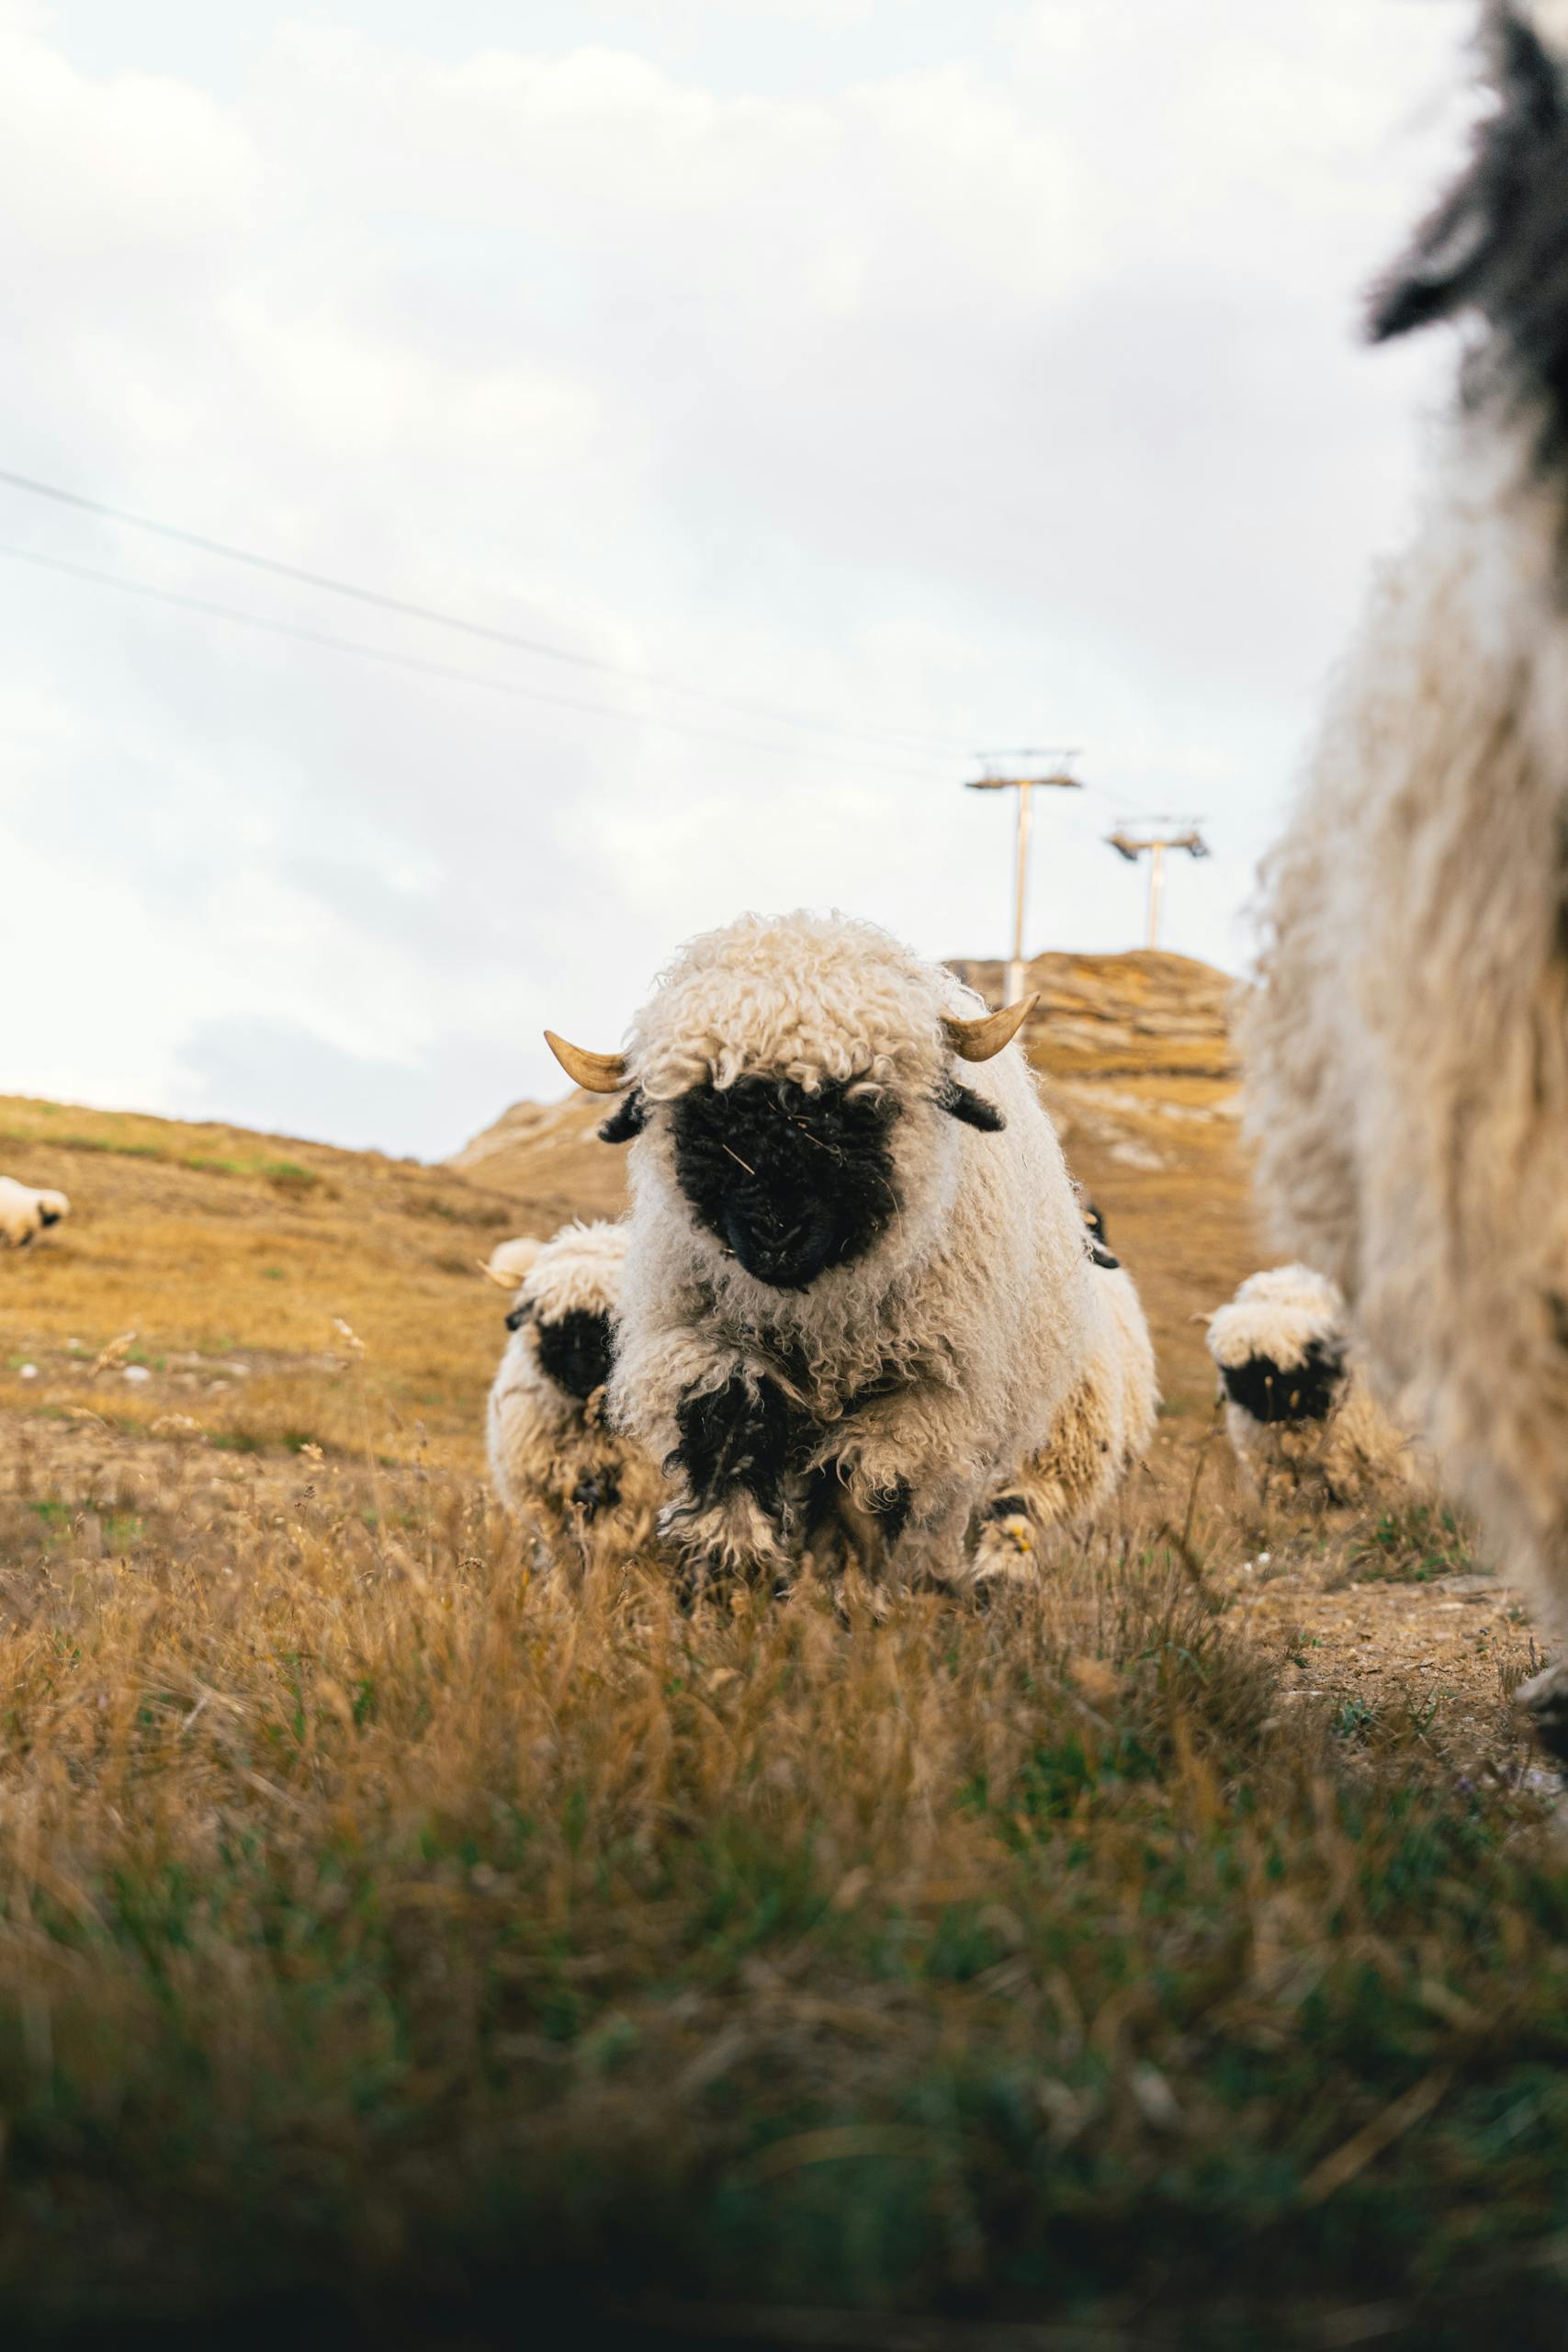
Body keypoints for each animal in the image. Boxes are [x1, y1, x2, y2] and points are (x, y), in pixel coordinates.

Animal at [543, 908, 1101, 1592]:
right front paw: (729, 1575)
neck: (816, 1314)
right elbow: (730, 1432)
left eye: (862, 1106)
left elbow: (861, 1493)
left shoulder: (920, 1398)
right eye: (704, 1114)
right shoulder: (709, 1344)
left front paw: (840, 1592)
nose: (775, 1235)